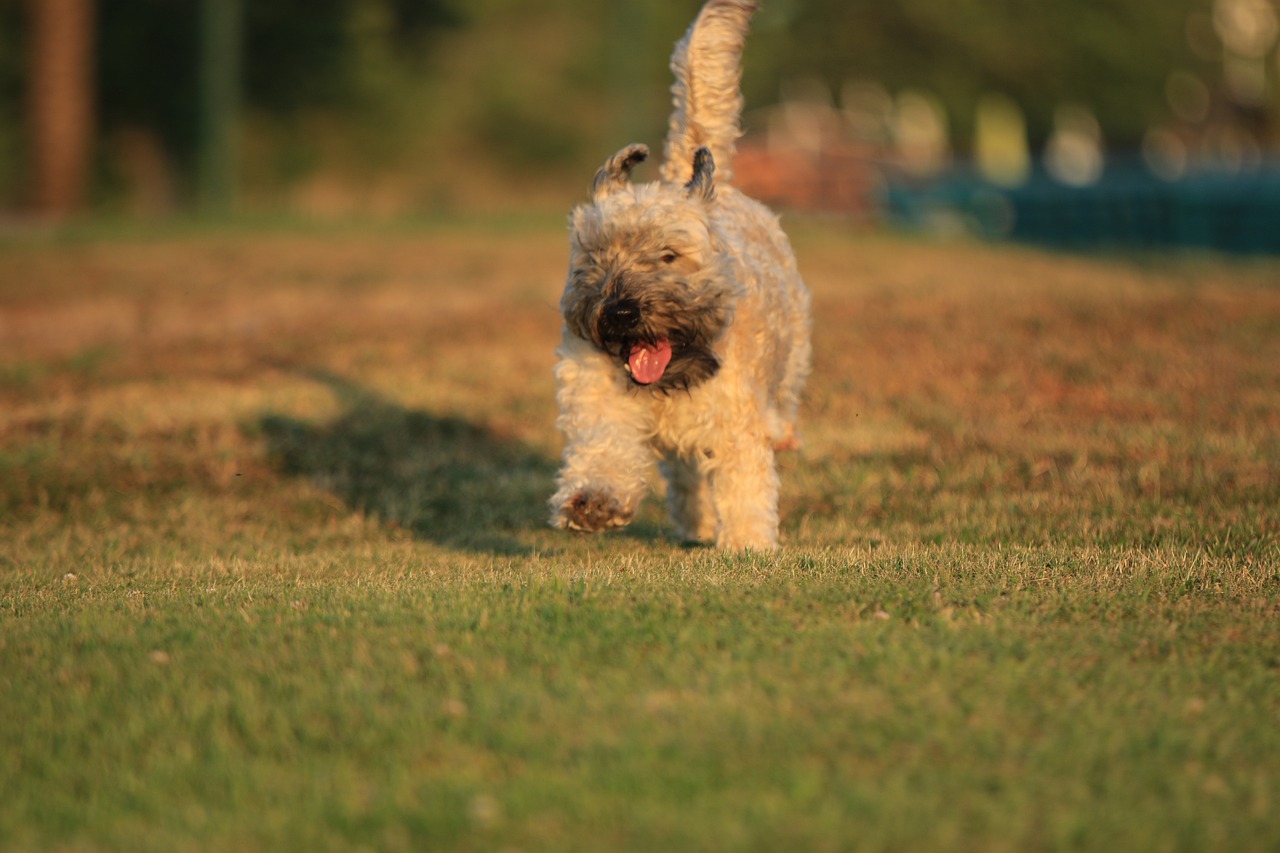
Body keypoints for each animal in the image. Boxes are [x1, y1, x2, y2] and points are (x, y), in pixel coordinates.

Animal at [547, 0, 808, 548]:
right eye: (596, 258)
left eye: (668, 256)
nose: (622, 312)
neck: (670, 379)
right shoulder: (600, 403)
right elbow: (605, 451)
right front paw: (594, 502)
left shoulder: (734, 421)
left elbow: (745, 484)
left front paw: (748, 547)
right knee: (686, 477)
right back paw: (695, 522)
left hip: (792, 352)